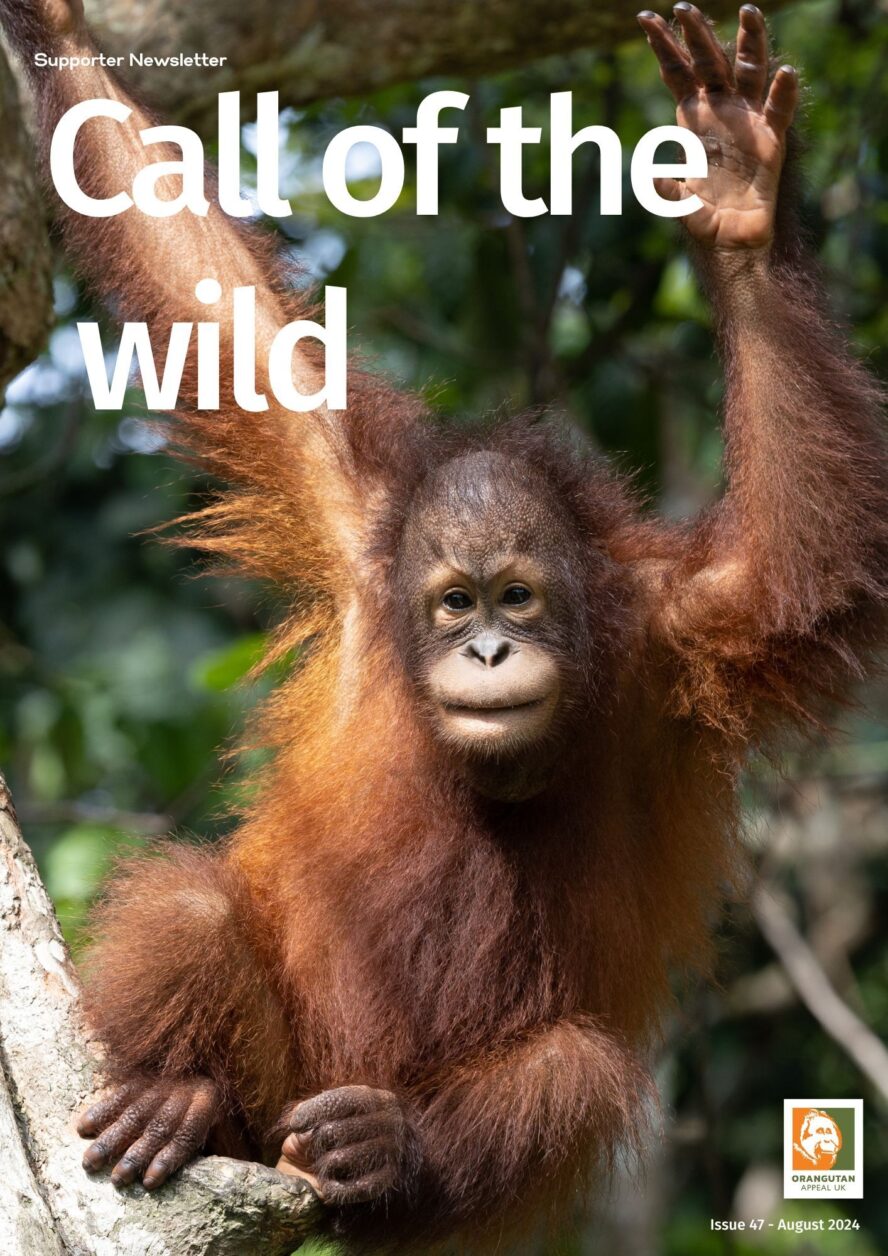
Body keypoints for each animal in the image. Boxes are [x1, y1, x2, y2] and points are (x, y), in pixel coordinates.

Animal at [1, 0, 886, 1251]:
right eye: (454, 602)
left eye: (517, 596)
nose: (488, 648)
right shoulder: (352, 518)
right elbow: (198, 278)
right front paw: (57, 25)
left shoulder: (684, 631)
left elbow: (806, 566)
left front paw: (739, 191)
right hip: (280, 1087)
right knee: (191, 898)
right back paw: (183, 1095)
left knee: (571, 1072)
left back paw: (380, 1152)